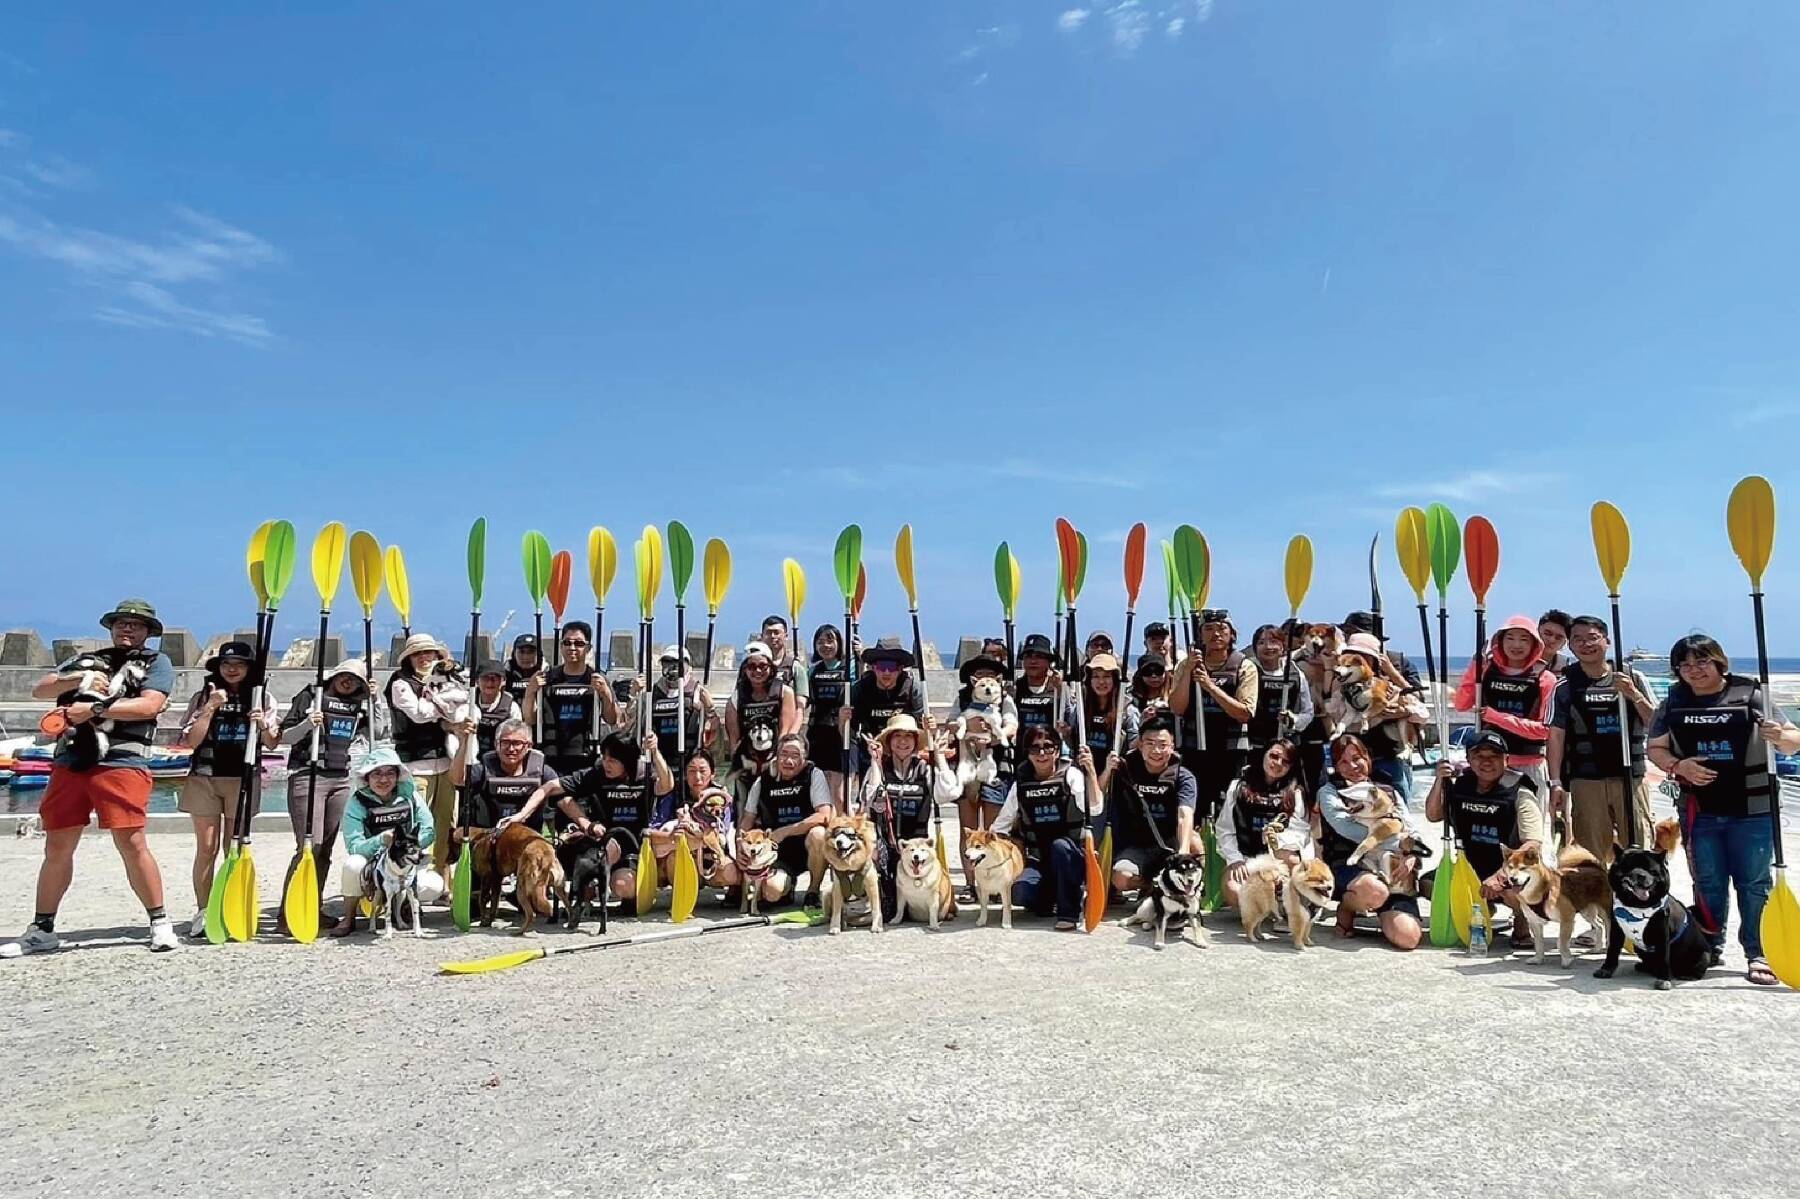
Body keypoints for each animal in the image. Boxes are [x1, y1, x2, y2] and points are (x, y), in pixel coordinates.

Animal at [1598, 817, 1706, 986]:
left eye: (1651, 870)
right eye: (1628, 868)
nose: (1640, 875)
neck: (1636, 906)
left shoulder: (1662, 933)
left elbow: (1663, 957)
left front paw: (1664, 979)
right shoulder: (1616, 929)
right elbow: (1612, 950)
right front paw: (1606, 969)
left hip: (1702, 955)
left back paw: (1686, 975)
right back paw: (1644, 967)